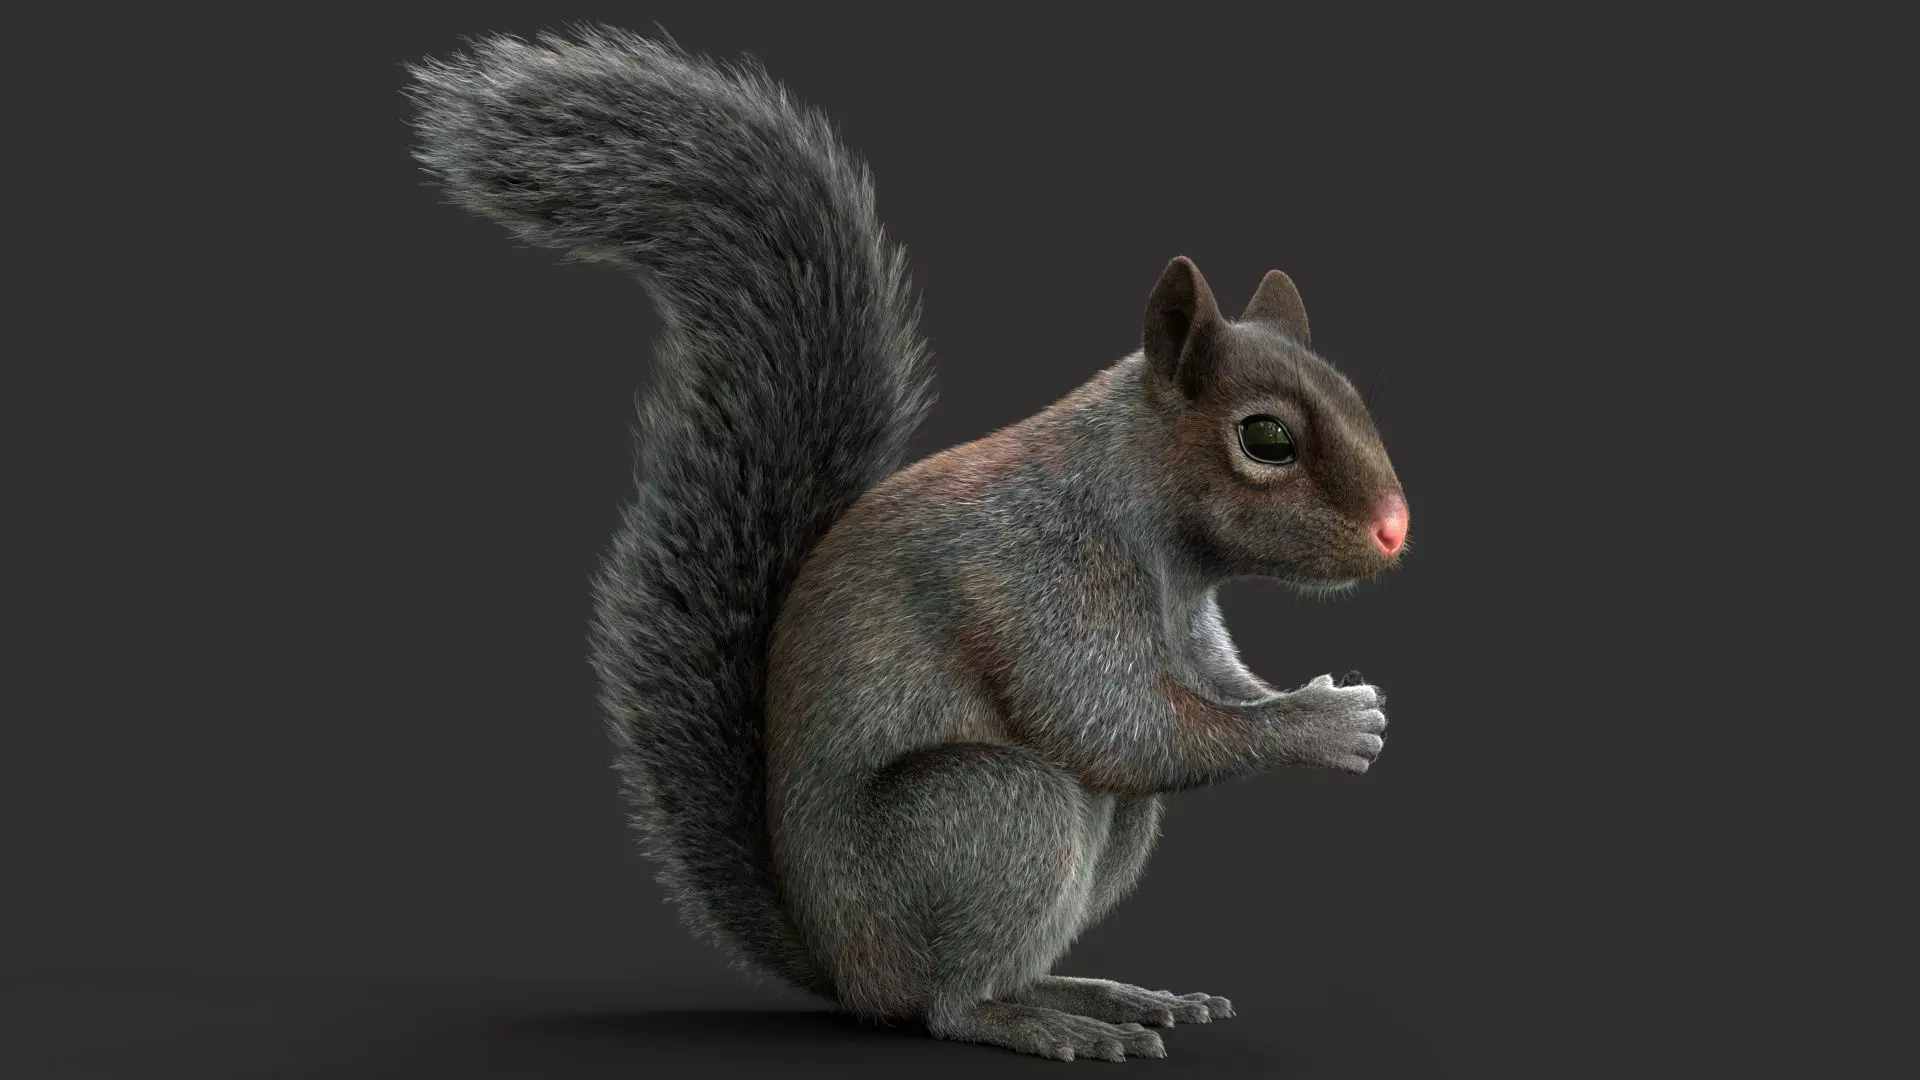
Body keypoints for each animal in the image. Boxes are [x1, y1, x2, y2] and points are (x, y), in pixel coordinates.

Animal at [406, 25, 1409, 1063]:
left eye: (1349, 391)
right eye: (1267, 438)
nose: (1397, 526)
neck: (1161, 539)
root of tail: (844, 971)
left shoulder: (1189, 621)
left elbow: (1205, 688)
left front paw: (1320, 700)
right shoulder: (1041, 572)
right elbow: (1112, 720)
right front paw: (1326, 721)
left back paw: (1102, 994)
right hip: (986, 815)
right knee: (951, 998)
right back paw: (1037, 1020)